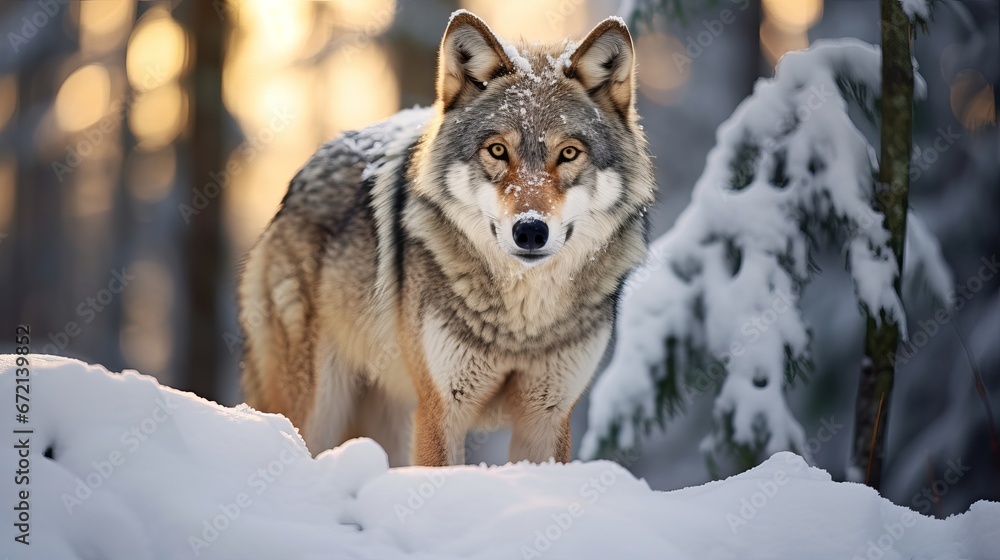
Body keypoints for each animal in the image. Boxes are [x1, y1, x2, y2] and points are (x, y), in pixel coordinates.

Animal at [239, 10, 656, 467]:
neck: (523, 324)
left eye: (568, 154)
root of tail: (297, 180)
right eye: (497, 150)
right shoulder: (441, 409)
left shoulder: (547, 416)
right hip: (319, 409)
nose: (530, 230)